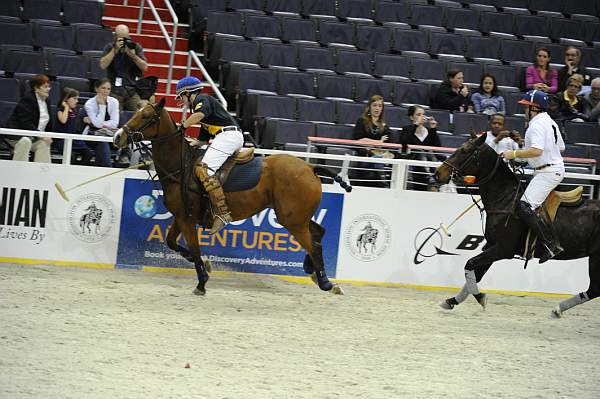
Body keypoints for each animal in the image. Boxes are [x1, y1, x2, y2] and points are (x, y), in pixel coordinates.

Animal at [114, 98, 350, 296]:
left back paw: (326, 282)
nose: (118, 137)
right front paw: (206, 265)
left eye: (146, 116)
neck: (180, 167)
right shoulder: (181, 216)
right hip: (297, 216)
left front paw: (202, 282)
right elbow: (173, 243)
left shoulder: (187, 219)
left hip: (292, 220)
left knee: (312, 244)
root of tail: (310, 167)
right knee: (318, 233)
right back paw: (314, 273)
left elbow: (194, 249)